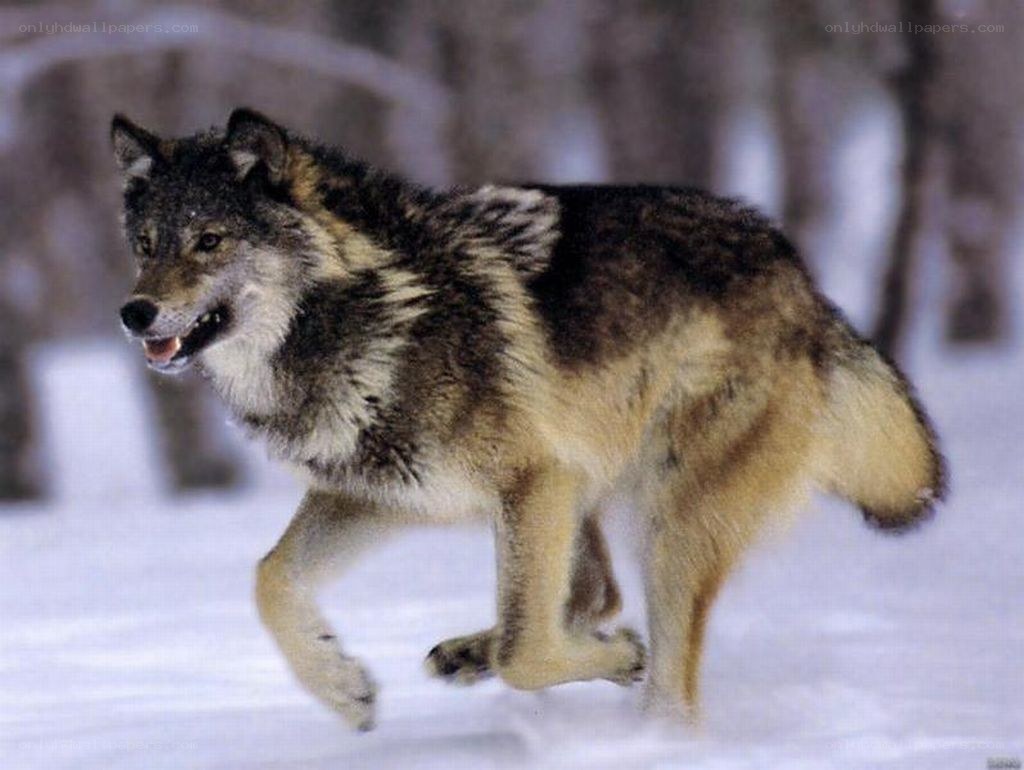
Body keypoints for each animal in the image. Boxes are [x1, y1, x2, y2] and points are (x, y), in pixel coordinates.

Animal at [111, 108, 945, 730]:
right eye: (146, 245)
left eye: (209, 241)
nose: (134, 312)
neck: (362, 314)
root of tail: (804, 283)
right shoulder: (385, 493)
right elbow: (269, 578)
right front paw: (342, 687)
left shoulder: (532, 477)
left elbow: (527, 654)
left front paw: (616, 658)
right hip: (581, 499)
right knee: (589, 599)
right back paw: (471, 654)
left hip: (662, 524)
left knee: (660, 683)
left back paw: (640, 715)